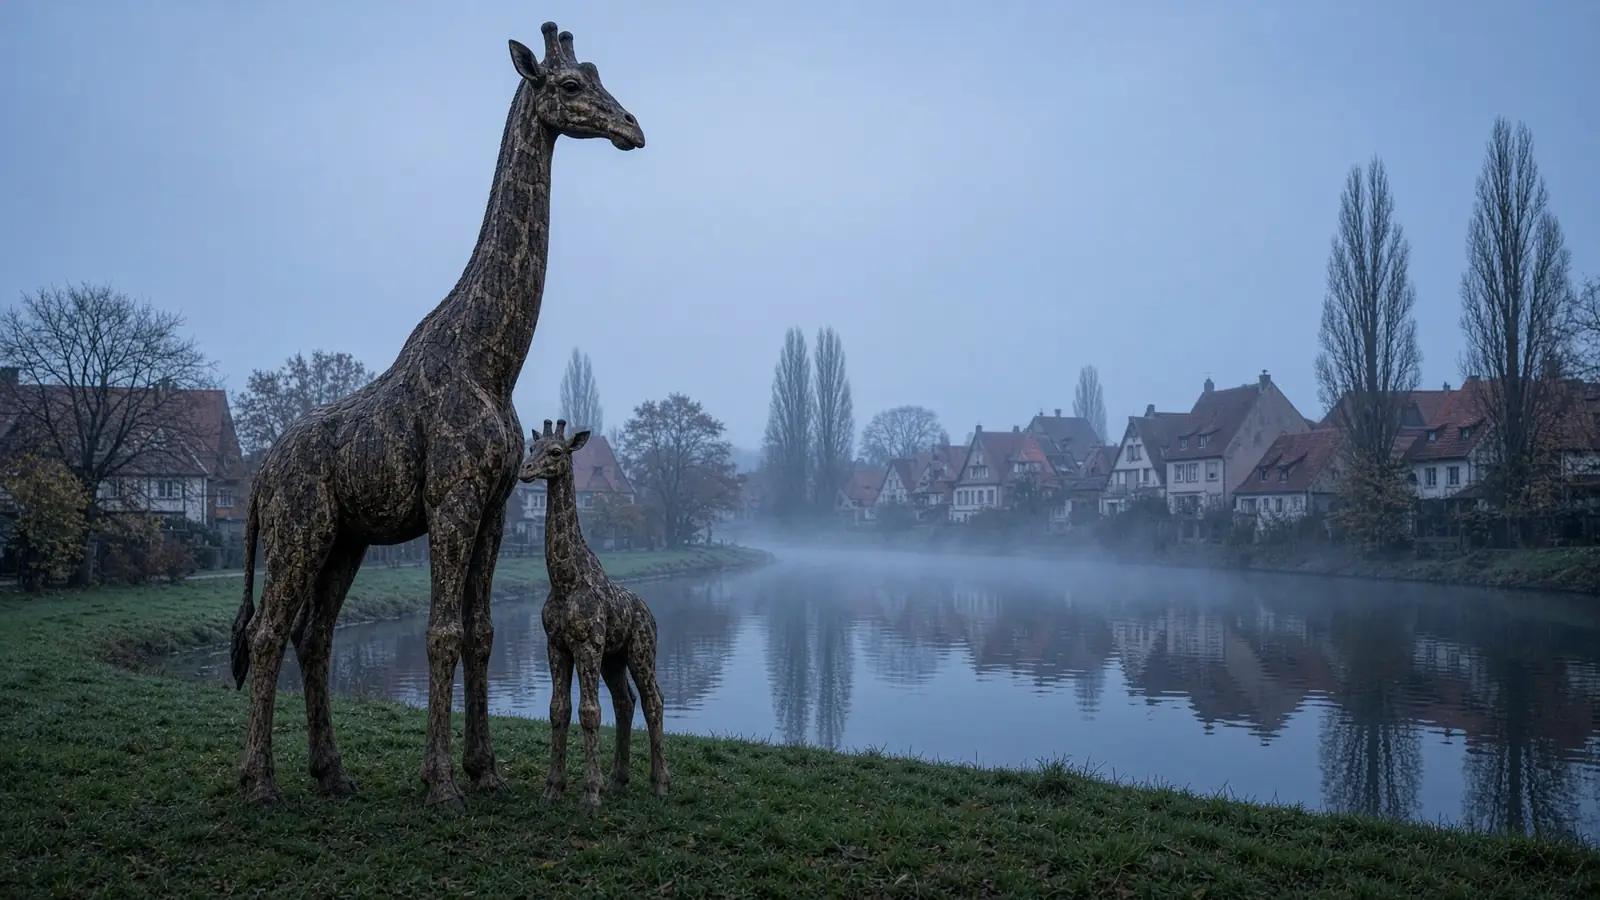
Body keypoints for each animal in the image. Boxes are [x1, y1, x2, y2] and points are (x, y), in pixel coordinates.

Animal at [227, 23, 645, 813]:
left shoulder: (494, 507)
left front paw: (486, 770)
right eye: (570, 85)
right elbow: (441, 631)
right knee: (267, 631)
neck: (490, 360)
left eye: (599, 72)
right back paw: (260, 782)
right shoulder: (451, 500)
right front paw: (442, 781)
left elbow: (480, 632)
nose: (633, 128)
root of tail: (260, 477)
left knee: (313, 635)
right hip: (300, 532)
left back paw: (332, 774)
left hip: (345, 541)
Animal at [519, 418, 669, 809]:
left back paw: (660, 783)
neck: (564, 580)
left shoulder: (587, 645)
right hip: (613, 659)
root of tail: (649, 611)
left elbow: (589, 712)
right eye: (531, 448)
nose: (525, 471)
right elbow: (559, 710)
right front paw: (553, 787)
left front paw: (589, 793)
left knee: (653, 700)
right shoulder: (556, 646)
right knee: (625, 701)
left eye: (557, 452)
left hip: (641, 651)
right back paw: (618, 778)